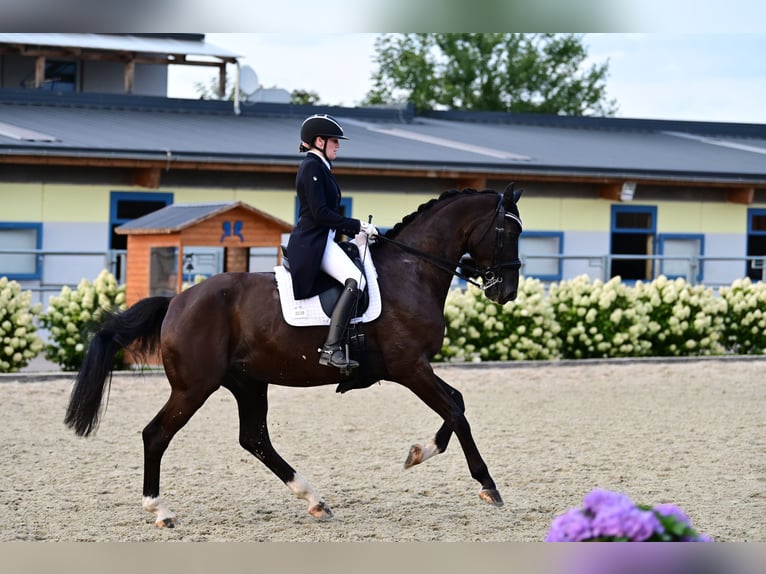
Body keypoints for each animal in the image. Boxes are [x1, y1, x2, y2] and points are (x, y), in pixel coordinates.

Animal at [66, 186, 524, 532]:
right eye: (508, 230)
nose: (506, 292)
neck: (411, 270)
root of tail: (177, 301)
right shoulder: (409, 367)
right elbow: (456, 412)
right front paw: (487, 485)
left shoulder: (414, 368)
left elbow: (457, 404)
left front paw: (419, 452)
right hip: (194, 387)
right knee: (157, 434)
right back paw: (160, 510)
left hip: (248, 383)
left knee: (254, 439)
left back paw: (314, 499)